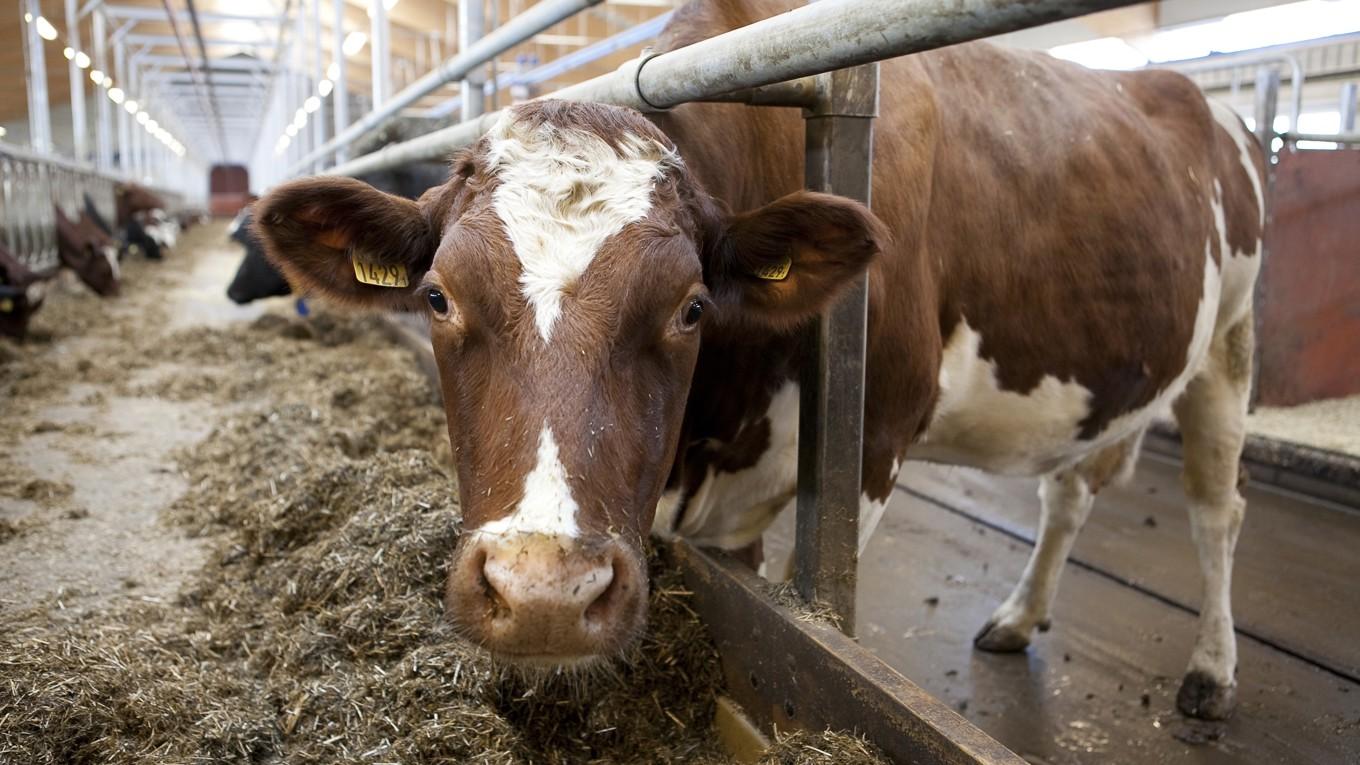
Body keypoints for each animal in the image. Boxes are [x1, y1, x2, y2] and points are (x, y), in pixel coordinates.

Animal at [252, 0, 1262, 718]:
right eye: (437, 297)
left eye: (692, 306)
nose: (546, 595)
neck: (706, 443)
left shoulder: (870, 445)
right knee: (1069, 491)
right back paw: (1018, 617)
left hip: (1231, 340)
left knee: (1218, 507)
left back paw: (1213, 669)